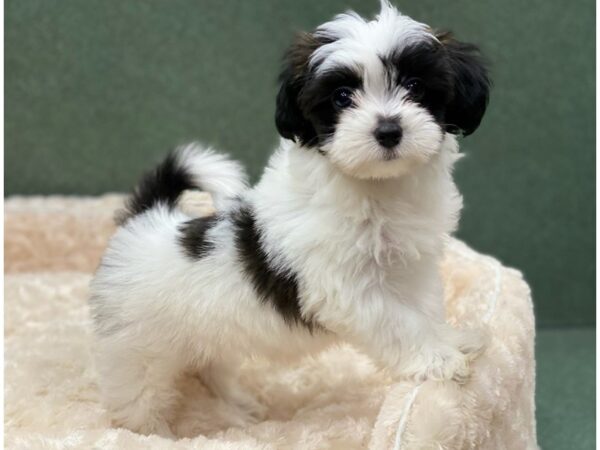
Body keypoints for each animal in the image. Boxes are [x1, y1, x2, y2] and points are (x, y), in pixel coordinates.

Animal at [91, 0, 490, 436]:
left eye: (416, 86)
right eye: (342, 97)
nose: (388, 130)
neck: (376, 188)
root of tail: (151, 216)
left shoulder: (413, 271)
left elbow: (423, 312)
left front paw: (449, 341)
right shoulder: (346, 288)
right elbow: (396, 323)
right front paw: (436, 359)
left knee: (210, 364)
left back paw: (237, 406)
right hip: (138, 350)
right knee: (139, 399)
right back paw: (154, 432)